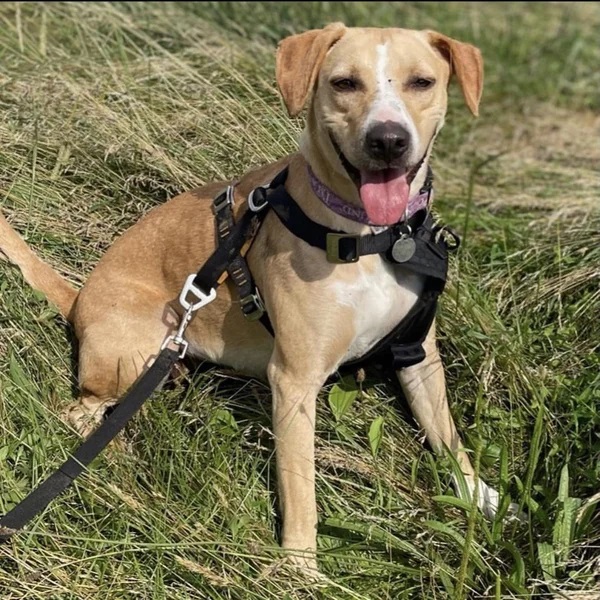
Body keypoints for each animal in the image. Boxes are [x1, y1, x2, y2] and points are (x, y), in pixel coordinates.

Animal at [2, 25, 500, 576]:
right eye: (344, 83)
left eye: (422, 82)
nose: (388, 140)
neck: (375, 239)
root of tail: (79, 298)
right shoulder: (295, 380)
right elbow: (300, 487)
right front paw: (301, 570)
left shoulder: (419, 356)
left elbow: (448, 436)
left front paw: (479, 496)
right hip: (132, 356)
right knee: (80, 413)